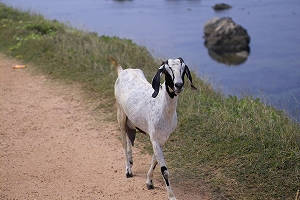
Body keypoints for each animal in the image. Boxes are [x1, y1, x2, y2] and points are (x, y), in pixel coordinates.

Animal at [113, 57, 196, 199]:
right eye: (167, 70)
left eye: (183, 69)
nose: (178, 85)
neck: (161, 107)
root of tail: (122, 71)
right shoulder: (155, 138)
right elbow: (164, 170)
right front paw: (171, 196)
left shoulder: (162, 139)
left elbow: (155, 161)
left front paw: (149, 182)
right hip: (121, 115)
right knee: (123, 141)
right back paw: (128, 170)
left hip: (131, 120)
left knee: (129, 138)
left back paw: (131, 162)